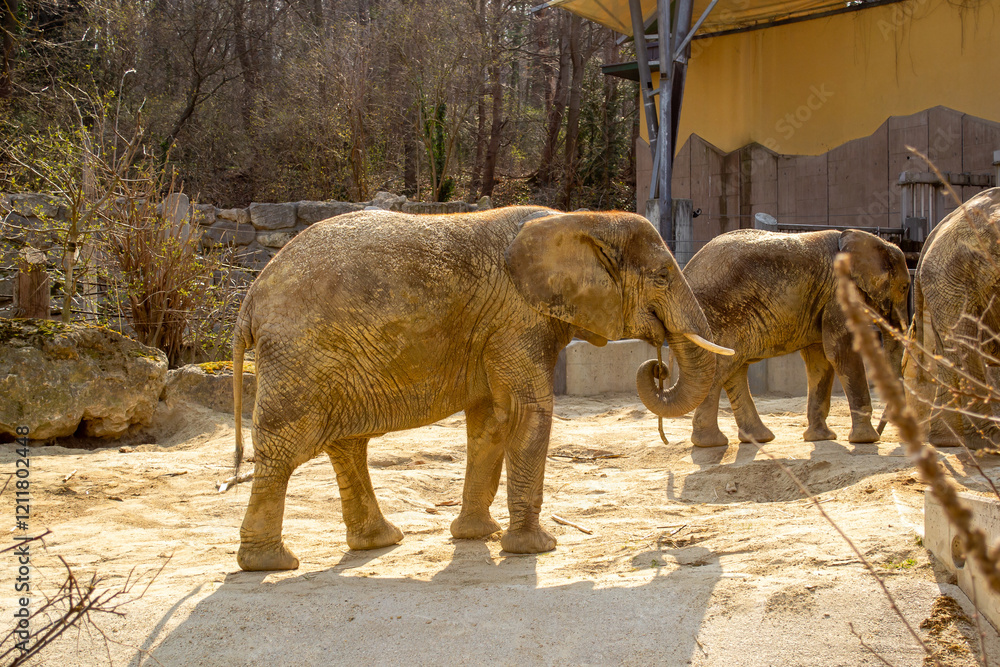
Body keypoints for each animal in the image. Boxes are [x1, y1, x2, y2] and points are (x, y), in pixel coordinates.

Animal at [231, 205, 733, 571]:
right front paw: (536, 547)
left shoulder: (499, 328)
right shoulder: (518, 320)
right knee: (284, 447)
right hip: (300, 355)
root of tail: (249, 301)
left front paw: (478, 536)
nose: (657, 366)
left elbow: (491, 422)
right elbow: (530, 413)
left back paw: (378, 542)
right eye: (663, 277)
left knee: (347, 444)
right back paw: (271, 564)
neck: (580, 219)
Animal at [659, 228, 910, 448]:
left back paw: (758, 438)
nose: (883, 433)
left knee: (733, 368)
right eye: (905, 287)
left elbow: (819, 359)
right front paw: (867, 440)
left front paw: (821, 438)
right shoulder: (837, 293)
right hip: (719, 313)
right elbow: (841, 352)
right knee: (719, 368)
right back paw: (711, 443)